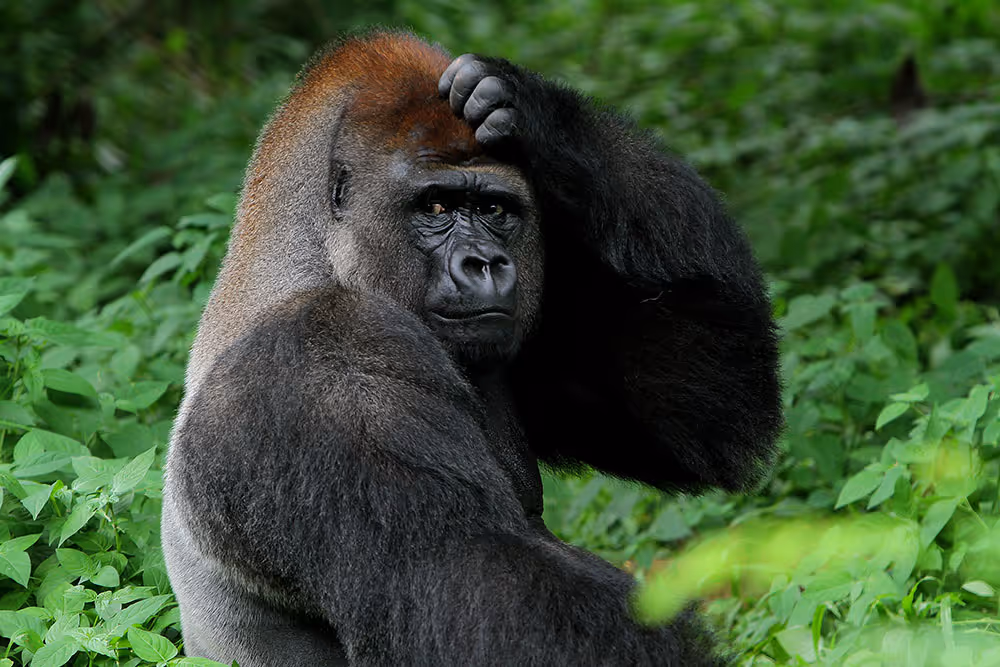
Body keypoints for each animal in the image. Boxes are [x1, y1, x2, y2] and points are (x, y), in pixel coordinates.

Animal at [161, 29, 781, 666]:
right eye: (436, 207)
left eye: (493, 209)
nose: (484, 263)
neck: (316, 260)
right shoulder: (324, 361)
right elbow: (477, 589)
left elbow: (699, 413)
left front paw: (532, 110)